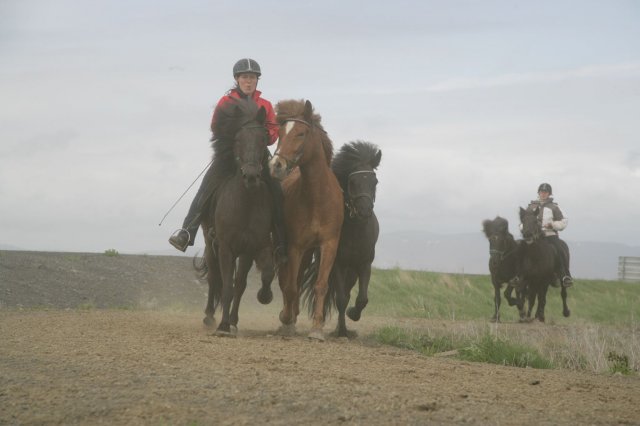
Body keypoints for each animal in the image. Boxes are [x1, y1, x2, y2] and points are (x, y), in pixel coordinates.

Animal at [195, 97, 276, 336]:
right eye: (238, 139)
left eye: (263, 138)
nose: (251, 176)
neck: (245, 204)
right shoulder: (225, 247)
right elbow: (227, 286)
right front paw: (222, 325)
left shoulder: (251, 247)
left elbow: (243, 283)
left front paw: (233, 320)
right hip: (210, 244)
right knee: (214, 278)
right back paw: (209, 317)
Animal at [268, 99, 344, 340]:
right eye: (281, 132)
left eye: (301, 133)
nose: (276, 165)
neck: (317, 198)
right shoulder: (294, 247)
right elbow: (290, 286)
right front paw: (287, 321)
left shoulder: (328, 245)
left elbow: (320, 285)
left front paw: (317, 329)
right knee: (287, 282)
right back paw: (287, 317)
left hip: (309, 251)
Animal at [302, 141, 382, 338]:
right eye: (353, 182)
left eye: (374, 181)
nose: (365, 211)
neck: (356, 231)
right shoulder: (338, 264)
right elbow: (340, 299)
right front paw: (342, 331)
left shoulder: (364, 264)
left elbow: (362, 298)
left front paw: (352, 315)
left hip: (352, 273)